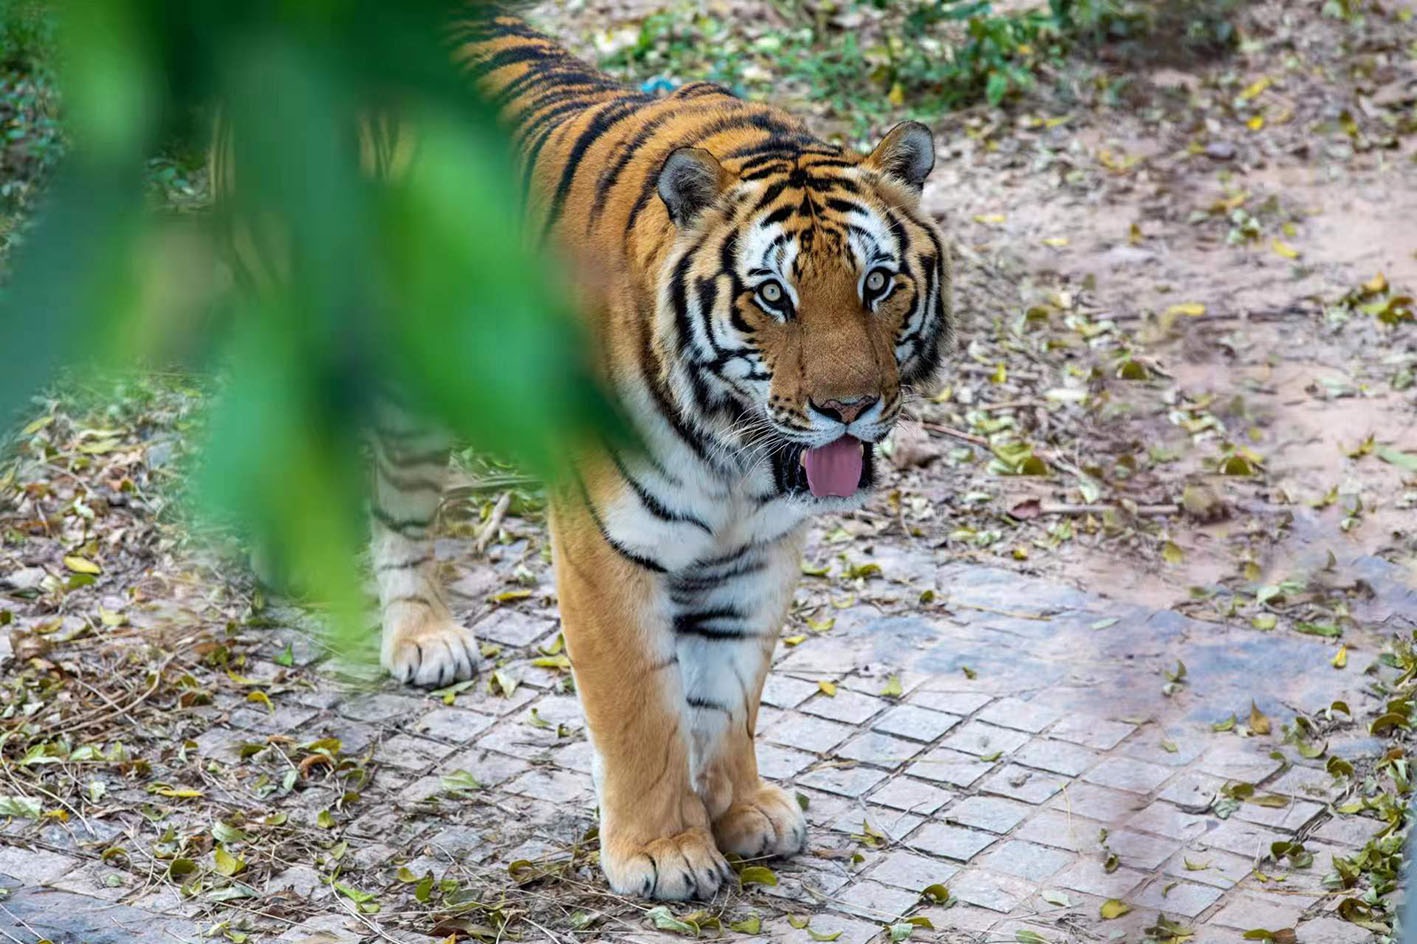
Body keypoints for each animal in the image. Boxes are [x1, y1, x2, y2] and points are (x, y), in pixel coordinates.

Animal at [212, 3, 952, 895]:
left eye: (877, 283)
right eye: (773, 295)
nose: (848, 409)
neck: (739, 453)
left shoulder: (757, 553)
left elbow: (729, 695)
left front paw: (740, 810)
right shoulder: (608, 548)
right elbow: (641, 710)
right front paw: (664, 852)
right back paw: (412, 629)